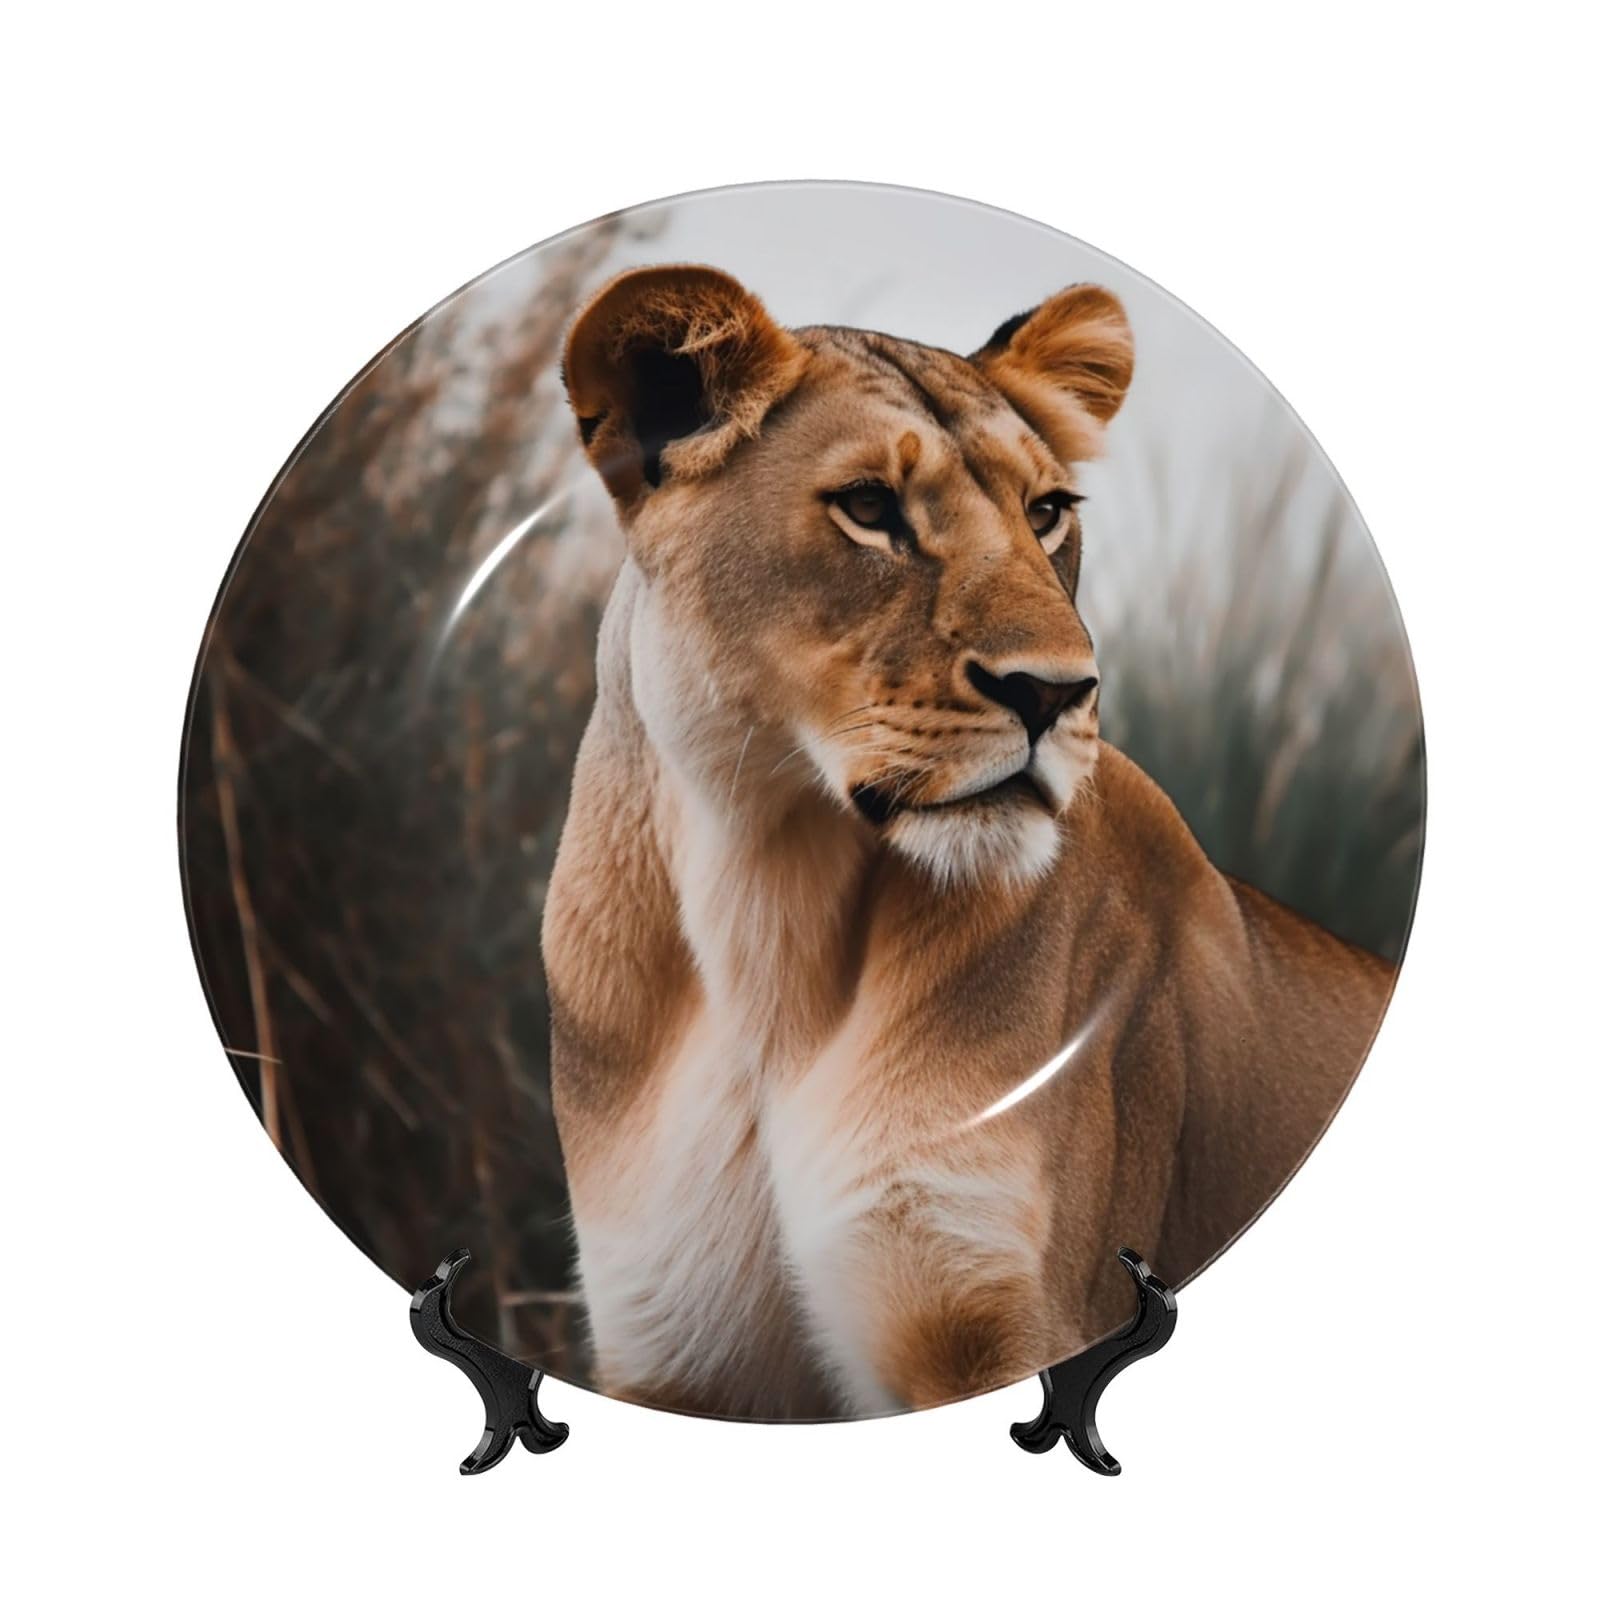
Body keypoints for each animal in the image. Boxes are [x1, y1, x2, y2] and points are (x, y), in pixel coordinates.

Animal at [541, 264, 1395, 1420]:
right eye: (868, 507)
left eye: (1047, 513)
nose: (1057, 692)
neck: (764, 902)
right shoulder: (674, 1351)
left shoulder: (995, 1312)